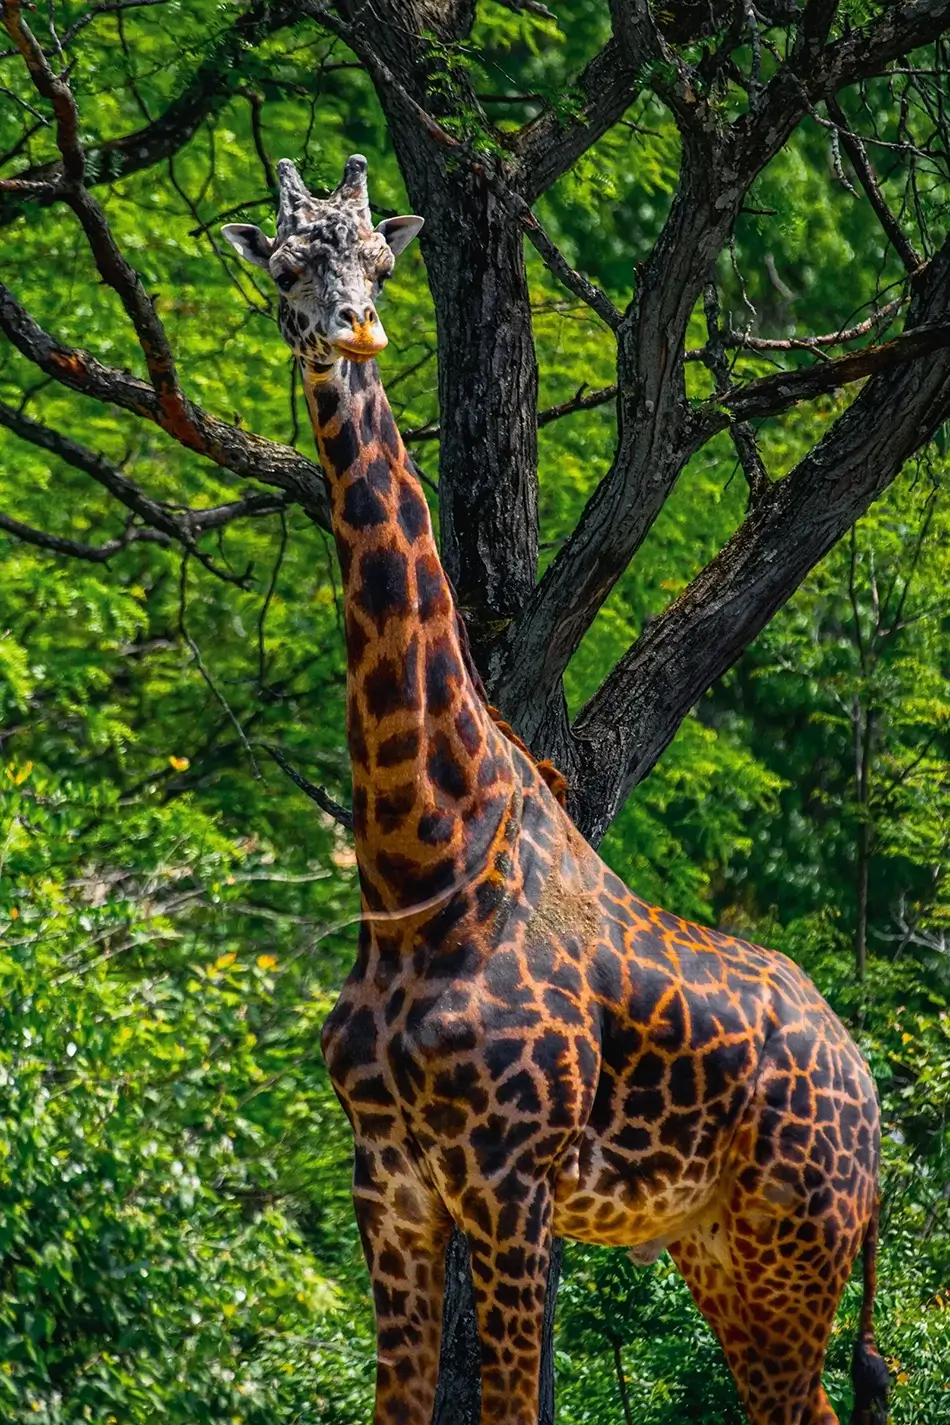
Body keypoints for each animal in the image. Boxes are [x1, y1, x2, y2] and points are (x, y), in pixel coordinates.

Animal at [223, 156, 890, 1425]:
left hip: (797, 1238)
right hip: (718, 1245)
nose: (358, 330)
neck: (418, 864)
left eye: (378, 262)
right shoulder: (388, 1184)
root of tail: (867, 1090)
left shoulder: (511, 1182)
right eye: (285, 268)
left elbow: (513, 1407)